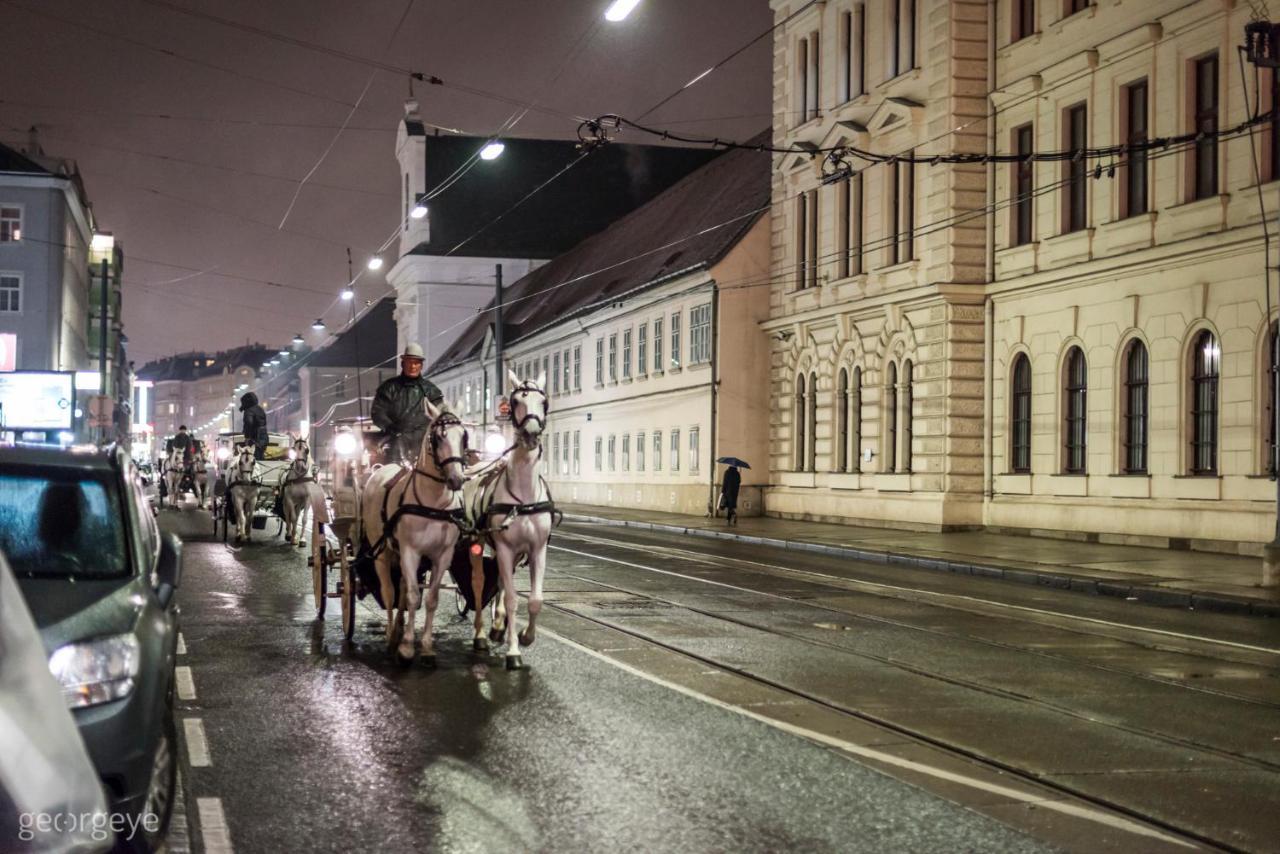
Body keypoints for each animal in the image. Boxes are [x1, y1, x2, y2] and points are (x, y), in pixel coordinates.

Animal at [360, 402, 471, 665]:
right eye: (438, 437)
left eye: (464, 436)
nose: (456, 479)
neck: (433, 503)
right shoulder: (411, 551)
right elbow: (411, 596)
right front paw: (407, 647)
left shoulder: (442, 556)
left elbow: (430, 599)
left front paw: (427, 647)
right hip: (382, 553)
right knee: (389, 591)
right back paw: (392, 634)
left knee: (400, 588)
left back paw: (400, 628)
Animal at [471, 371, 550, 670]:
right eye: (516, 401)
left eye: (544, 401)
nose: (531, 434)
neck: (524, 497)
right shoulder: (504, 548)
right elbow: (514, 598)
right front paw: (514, 652)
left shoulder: (537, 549)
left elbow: (535, 600)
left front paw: (525, 636)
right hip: (479, 542)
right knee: (481, 583)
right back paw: (483, 634)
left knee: (501, 584)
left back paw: (498, 626)